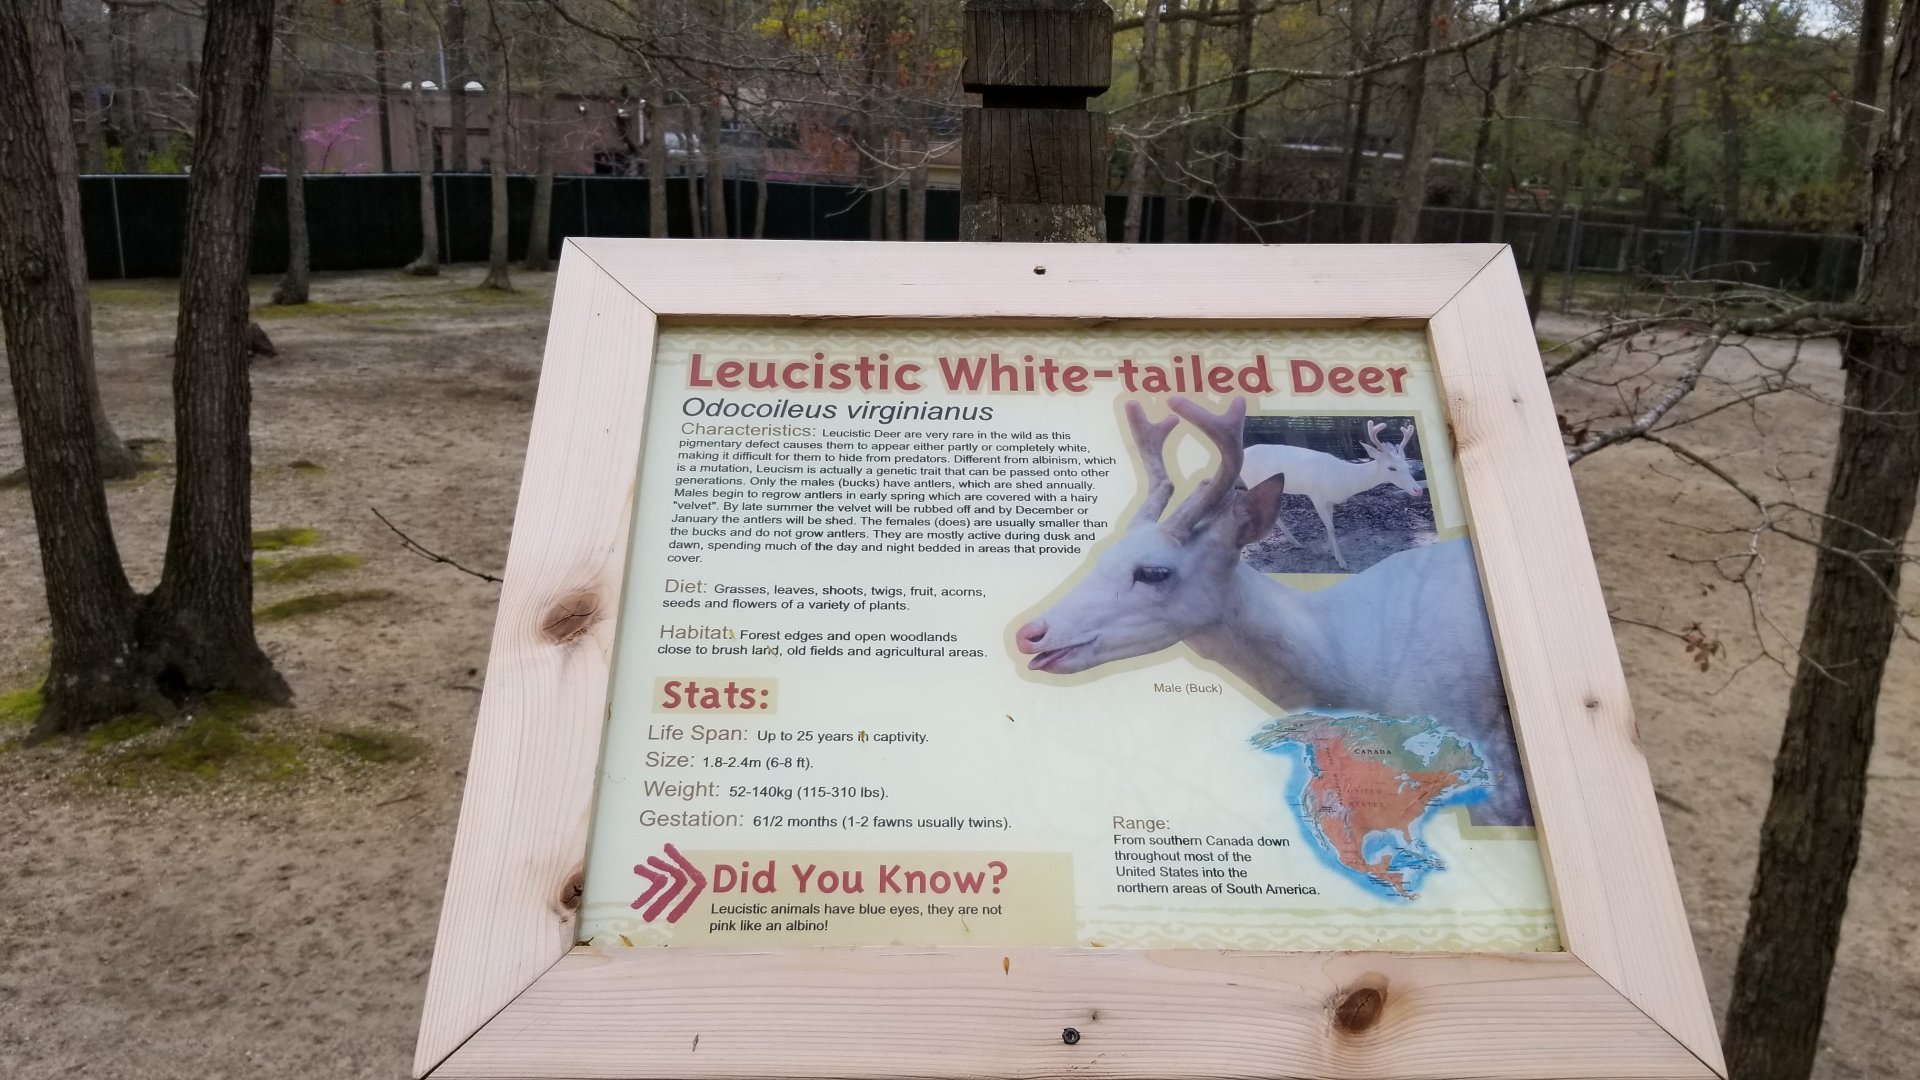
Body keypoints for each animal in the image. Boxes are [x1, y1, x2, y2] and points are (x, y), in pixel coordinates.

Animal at [1239, 421, 1425, 570]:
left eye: (1408, 466)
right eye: (1391, 468)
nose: (1419, 490)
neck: (1341, 480)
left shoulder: (1329, 500)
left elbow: (1330, 525)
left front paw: (1331, 551)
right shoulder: (1316, 496)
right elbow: (1330, 527)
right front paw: (1342, 562)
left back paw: (1296, 543)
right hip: (1252, 481)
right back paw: (1258, 546)